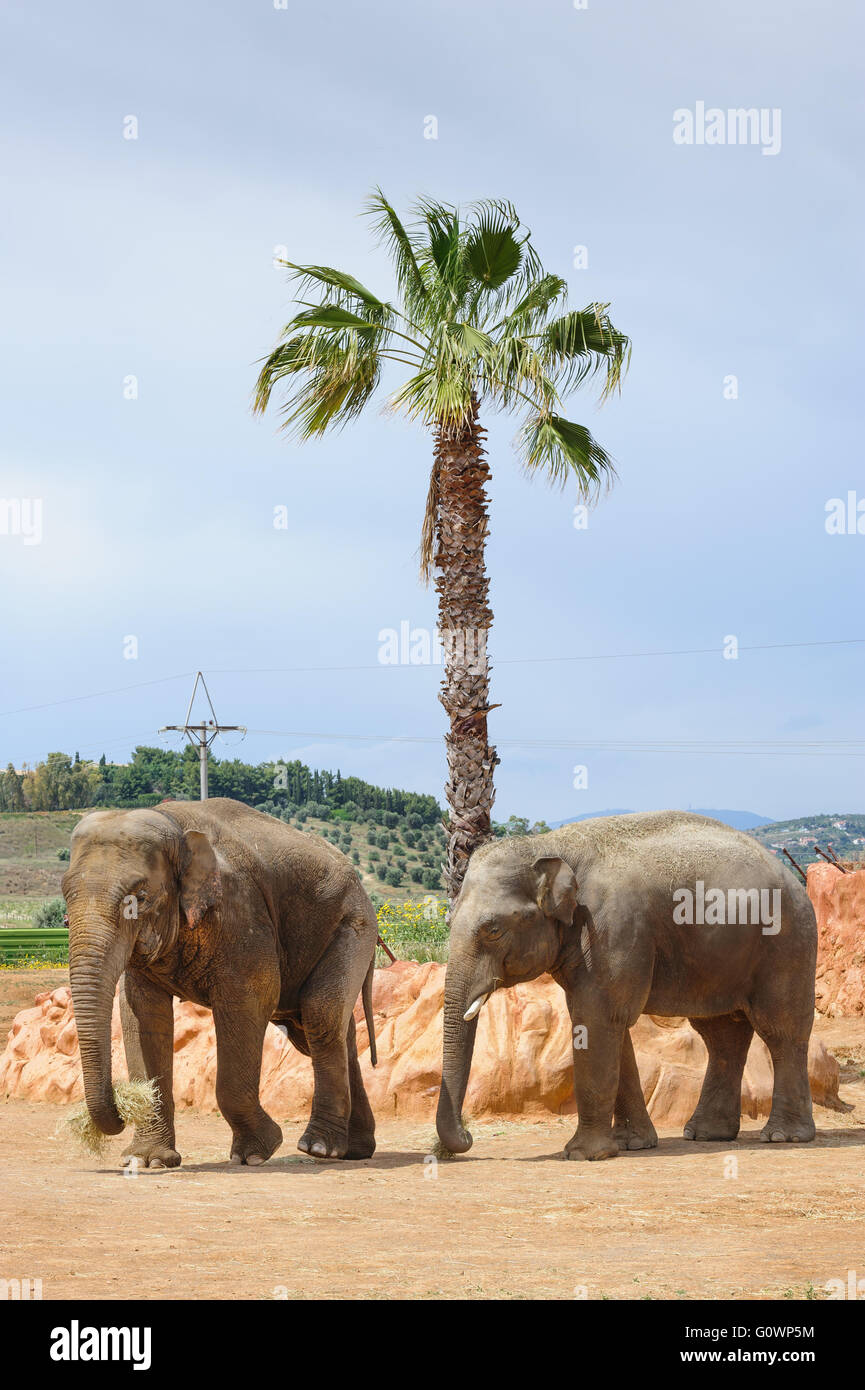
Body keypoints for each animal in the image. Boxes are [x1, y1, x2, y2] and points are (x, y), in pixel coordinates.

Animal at [62, 800, 381, 1167]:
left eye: (140, 896)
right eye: (65, 894)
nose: (119, 1109)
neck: (175, 826)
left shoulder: (241, 912)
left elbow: (251, 999)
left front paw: (256, 1153)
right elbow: (142, 1016)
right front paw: (146, 1161)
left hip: (354, 926)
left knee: (320, 1014)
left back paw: (319, 1147)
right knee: (325, 1031)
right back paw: (354, 1151)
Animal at [439, 811, 817, 1162]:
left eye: (493, 930)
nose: (467, 1139)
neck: (548, 845)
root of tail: (793, 877)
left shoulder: (613, 927)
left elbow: (598, 1019)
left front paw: (584, 1154)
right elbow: (609, 1025)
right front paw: (631, 1145)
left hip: (786, 942)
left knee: (781, 1029)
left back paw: (783, 1137)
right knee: (722, 1034)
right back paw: (706, 1134)